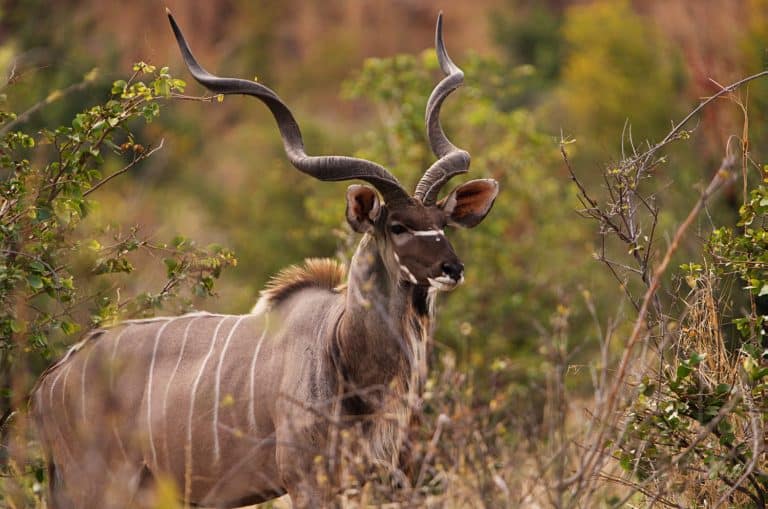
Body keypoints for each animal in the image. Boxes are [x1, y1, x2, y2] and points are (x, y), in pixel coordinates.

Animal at [31, 10, 499, 509]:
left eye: (443, 223)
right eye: (397, 227)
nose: (452, 269)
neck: (342, 344)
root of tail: (49, 383)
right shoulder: (307, 481)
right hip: (95, 484)